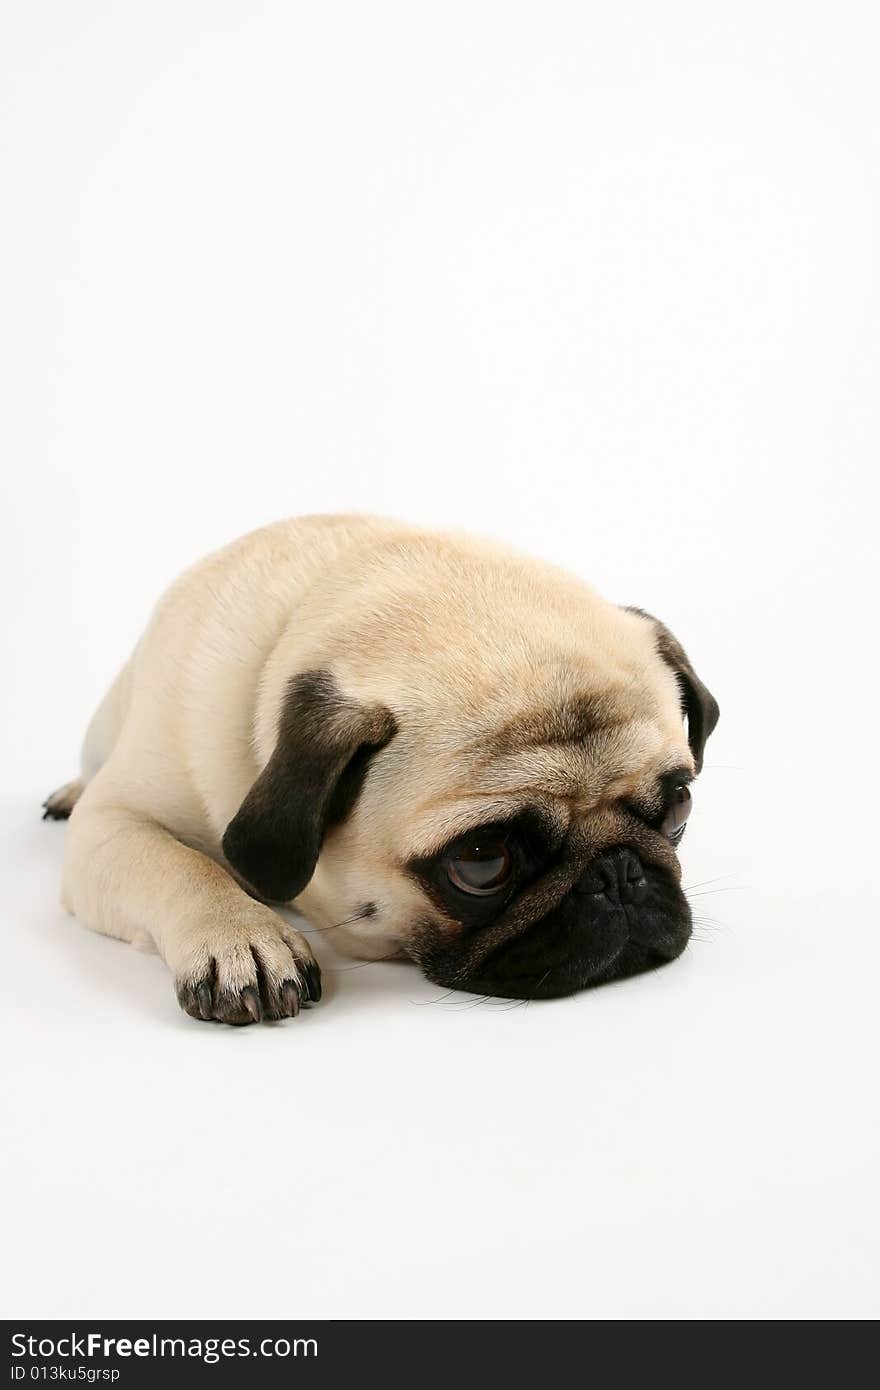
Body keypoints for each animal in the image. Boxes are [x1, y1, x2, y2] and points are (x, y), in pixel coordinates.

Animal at [42, 517, 711, 1028]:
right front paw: (241, 938)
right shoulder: (114, 822)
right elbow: (180, 866)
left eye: (679, 808)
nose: (618, 873)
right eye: (481, 862)